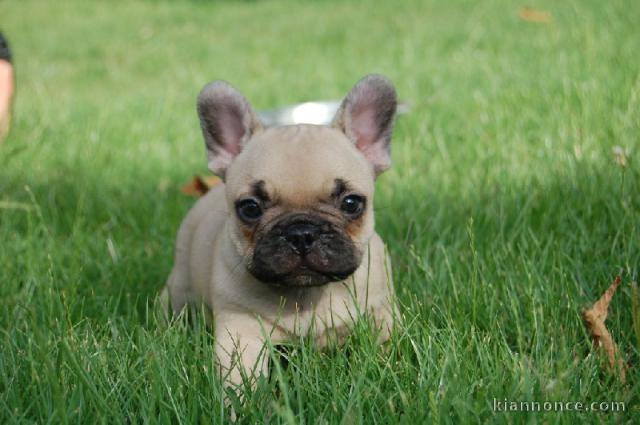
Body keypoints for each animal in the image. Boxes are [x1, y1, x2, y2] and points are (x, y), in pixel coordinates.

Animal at [162, 74, 398, 386]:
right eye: (250, 208)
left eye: (351, 203)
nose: (301, 233)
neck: (307, 296)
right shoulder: (241, 330)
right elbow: (240, 376)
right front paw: (243, 401)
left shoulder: (381, 313)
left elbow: (387, 347)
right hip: (180, 286)